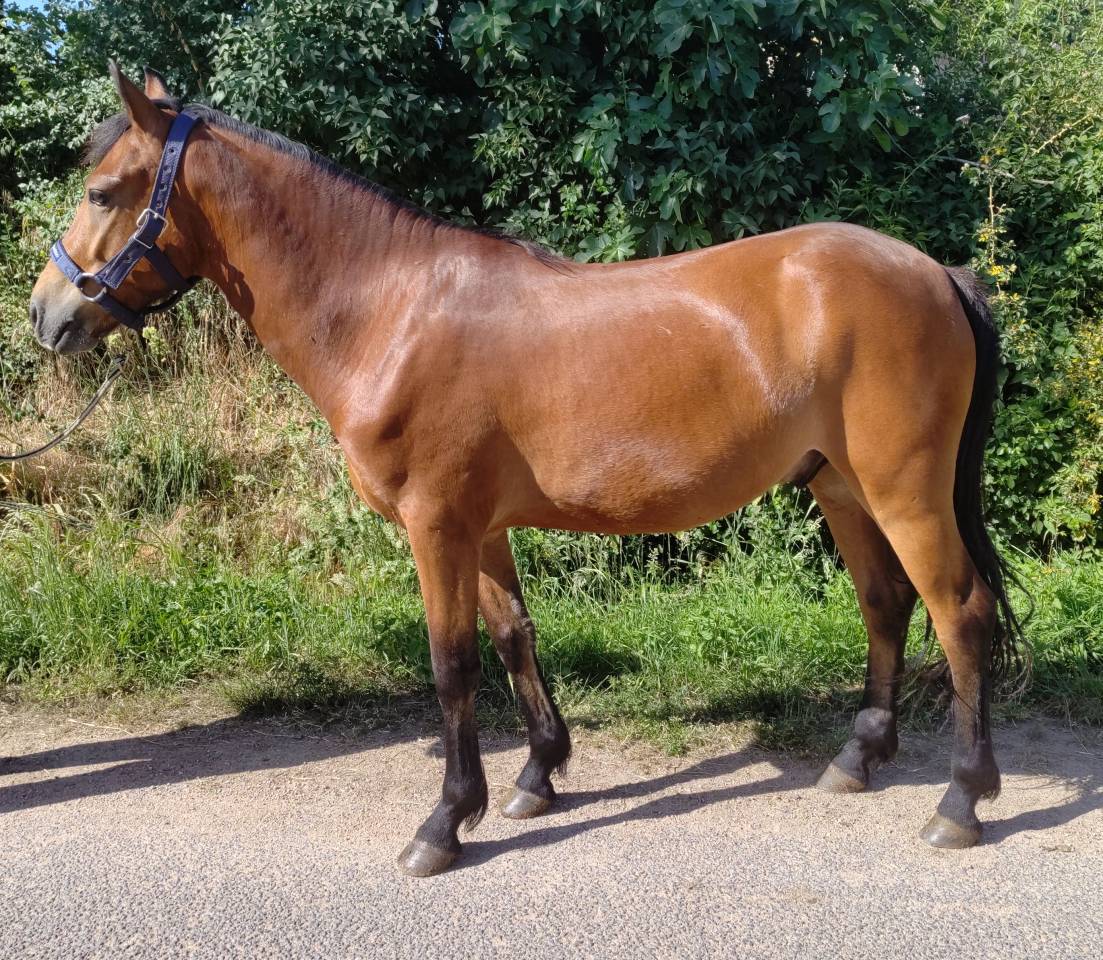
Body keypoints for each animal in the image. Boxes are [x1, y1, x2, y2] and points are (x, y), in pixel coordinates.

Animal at [28, 65, 1023, 877]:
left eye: (103, 190)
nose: (46, 317)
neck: (391, 310)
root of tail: (933, 270)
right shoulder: (482, 527)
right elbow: (514, 640)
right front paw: (536, 778)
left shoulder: (435, 525)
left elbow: (451, 666)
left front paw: (443, 823)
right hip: (840, 485)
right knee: (885, 605)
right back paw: (857, 760)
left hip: (903, 492)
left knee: (958, 611)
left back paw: (961, 801)